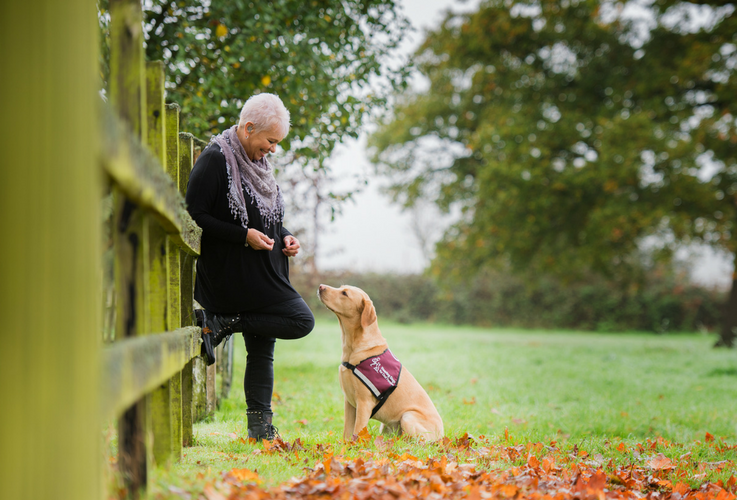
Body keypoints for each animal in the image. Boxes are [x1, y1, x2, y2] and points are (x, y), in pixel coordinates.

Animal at [316, 286, 442, 442]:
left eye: (344, 293)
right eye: (340, 288)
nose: (321, 286)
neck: (352, 347)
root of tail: (442, 435)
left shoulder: (364, 403)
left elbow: (357, 430)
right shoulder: (349, 403)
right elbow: (347, 431)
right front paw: (344, 445)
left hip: (408, 417)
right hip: (387, 426)